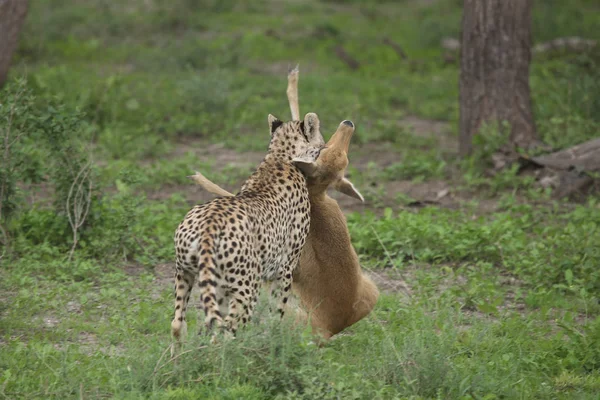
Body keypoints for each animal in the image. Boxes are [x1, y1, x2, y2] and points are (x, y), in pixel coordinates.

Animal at [169, 111, 328, 344]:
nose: (325, 147)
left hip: (185, 272)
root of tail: (209, 226)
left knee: (178, 324)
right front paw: (275, 338)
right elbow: (277, 311)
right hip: (247, 289)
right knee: (225, 333)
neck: (280, 157)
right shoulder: (285, 268)